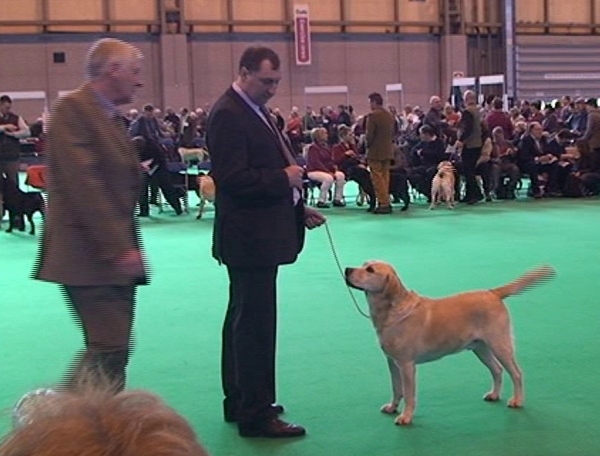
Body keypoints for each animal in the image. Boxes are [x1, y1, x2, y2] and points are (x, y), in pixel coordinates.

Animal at [344, 262, 556, 426]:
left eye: (370, 270)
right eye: (363, 264)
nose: (347, 269)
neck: (391, 311)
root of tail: (493, 293)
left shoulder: (406, 364)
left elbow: (409, 394)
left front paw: (406, 417)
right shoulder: (392, 361)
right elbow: (397, 389)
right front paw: (392, 407)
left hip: (500, 344)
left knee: (516, 373)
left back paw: (517, 400)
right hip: (480, 348)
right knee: (497, 370)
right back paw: (494, 395)